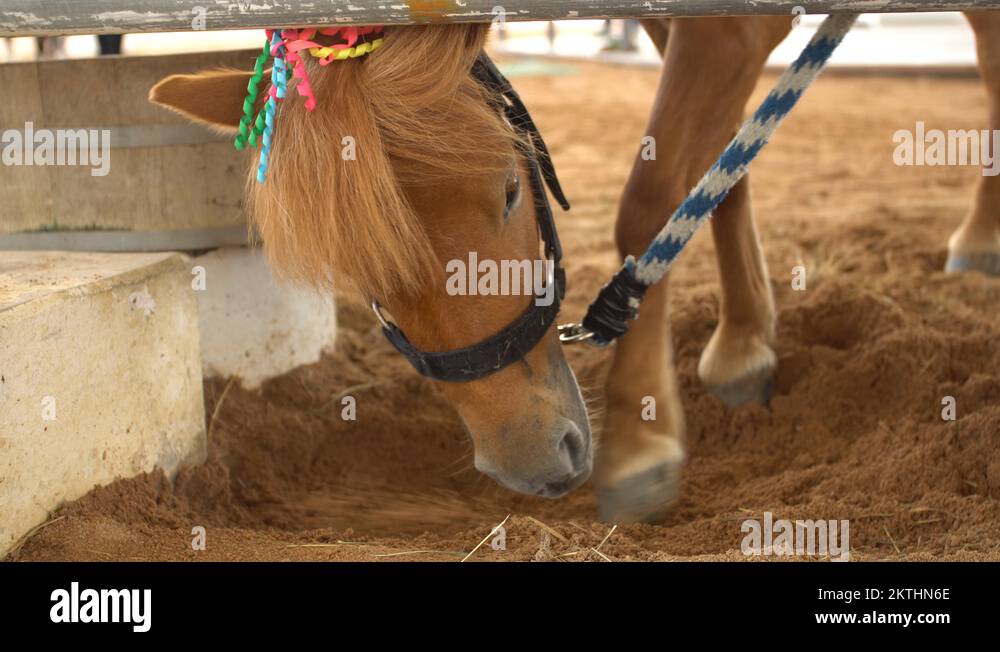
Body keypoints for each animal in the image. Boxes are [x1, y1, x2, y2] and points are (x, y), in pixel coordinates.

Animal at [148, 16, 999, 524]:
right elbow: (720, 167)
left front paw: (641, 441)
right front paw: (745, 342)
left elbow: (655, 195)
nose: (531, 463)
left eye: (510, 189)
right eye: (361, 262)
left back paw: (981, 235)